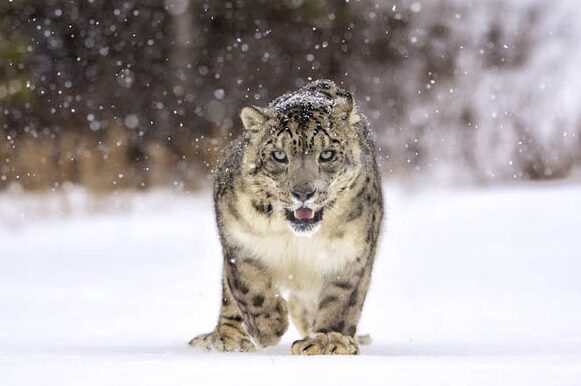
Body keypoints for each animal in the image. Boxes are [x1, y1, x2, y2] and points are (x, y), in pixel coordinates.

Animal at [188, 79, 382, 356]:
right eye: (279, 155)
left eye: (327, 154)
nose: (303, 192)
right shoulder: (237, 239)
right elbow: (247, 287)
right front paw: (270, 324)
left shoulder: (351, 254)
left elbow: (342, 301)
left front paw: (329, 341)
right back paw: (226, 338)